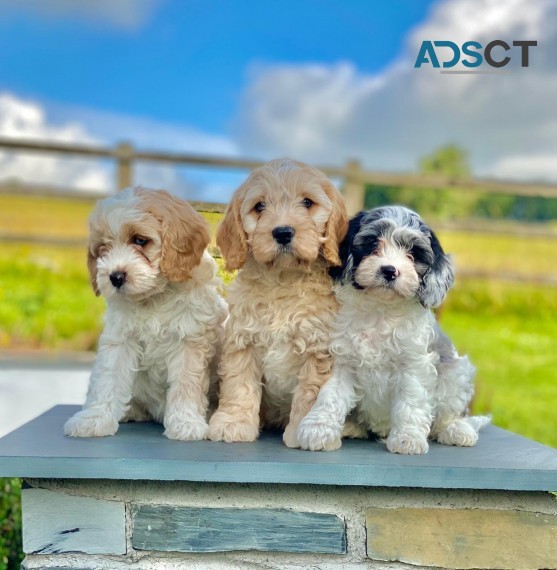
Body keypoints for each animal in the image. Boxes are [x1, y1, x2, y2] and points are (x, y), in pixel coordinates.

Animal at [62, 186, 224, 440]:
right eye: (103, 249)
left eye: (140, 240)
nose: (115, 277)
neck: (153, 297)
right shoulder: (120, 339)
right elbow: (107, 378)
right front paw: (94, 419)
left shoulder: (189, 339)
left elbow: (186, 382)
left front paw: (186, 423)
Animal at [208, 158, 348, 446]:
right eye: (259, 206)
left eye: (307, 202)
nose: (283, 232)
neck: (283, 280)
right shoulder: (243, 339)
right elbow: (239, 384)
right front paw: (233, 423)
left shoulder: (318, 347)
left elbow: (309, 392)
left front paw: (301, 432)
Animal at [300, 204, 486, 452]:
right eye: (373, 244)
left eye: (412, 253)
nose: (390, 270)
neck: (382, 309)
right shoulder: (342, 360)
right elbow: (331, 395)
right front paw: (318, 428)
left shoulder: (413, 364)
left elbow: (410, 401)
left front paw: (407, 438)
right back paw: (352, 427)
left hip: (457, 374)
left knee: (448, 414)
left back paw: (456, 430)